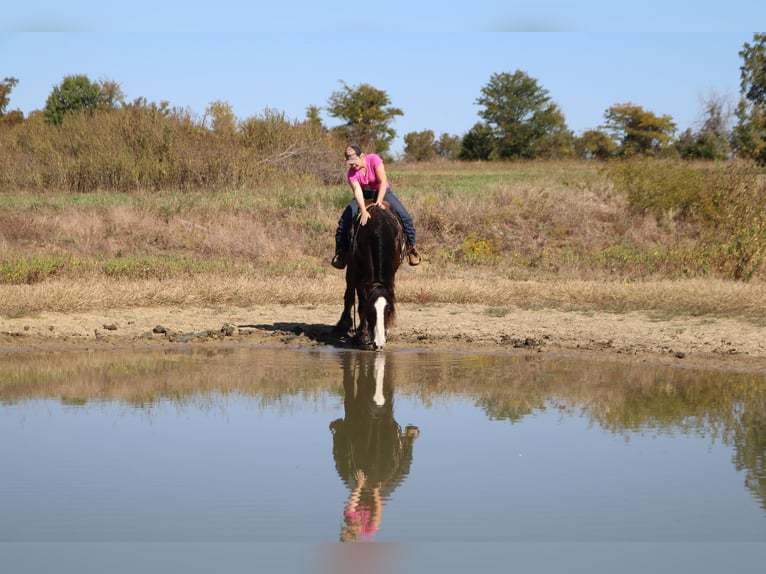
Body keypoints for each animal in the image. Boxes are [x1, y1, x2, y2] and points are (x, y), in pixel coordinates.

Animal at [336, 205, 408, 354]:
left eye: (388, 310)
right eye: (371, 311)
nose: (379, 344)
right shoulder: (359, 272)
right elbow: (361, 304)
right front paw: (362, 335)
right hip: (351, 268)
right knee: (349, 294)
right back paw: (344, 324)